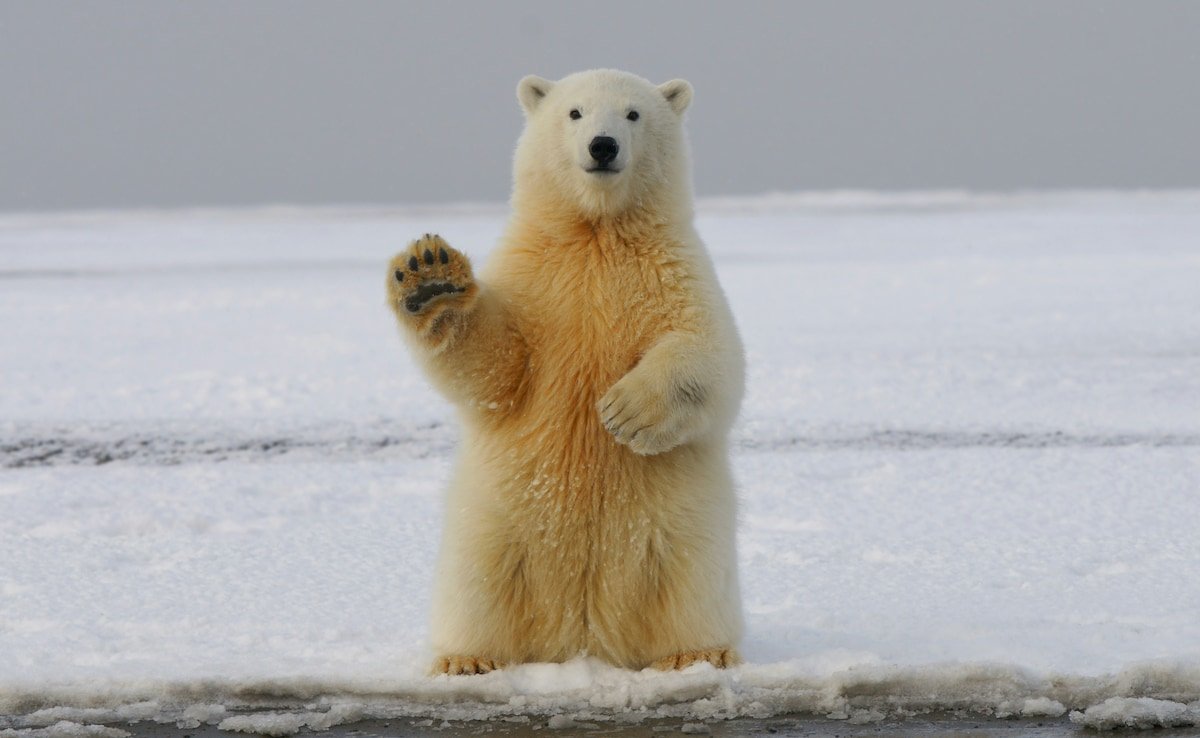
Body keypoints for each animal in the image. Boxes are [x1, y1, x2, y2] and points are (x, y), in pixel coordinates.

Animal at [386, 69, 739, 676]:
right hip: (495, 523)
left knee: (691, 581)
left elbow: (710, 353)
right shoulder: (535, 278)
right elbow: (497, 368)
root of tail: (583, 637)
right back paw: (466, 659)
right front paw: (430, 276)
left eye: (633, 114)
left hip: (682, 526)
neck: (596, 232)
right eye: (574, 113)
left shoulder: (675, 271)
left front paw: (624, 412)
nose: (603, 146)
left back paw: (698, 653)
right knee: (477, 583)